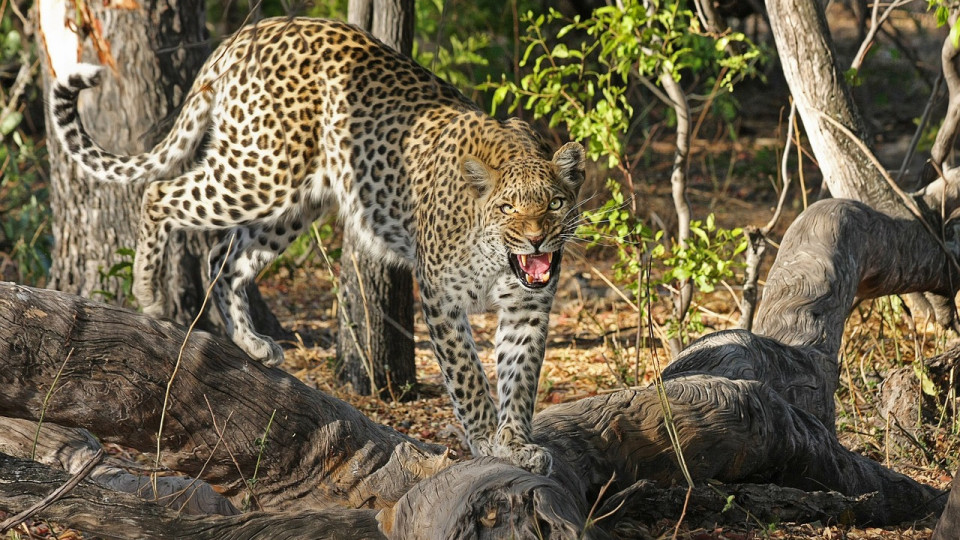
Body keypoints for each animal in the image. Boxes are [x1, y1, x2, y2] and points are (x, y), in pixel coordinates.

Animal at [50, 16, 584, 474]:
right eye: (508, 208)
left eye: (555, 203)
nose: (536, 238)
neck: (499, 259)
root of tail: (248, 33)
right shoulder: (440, 296)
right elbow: (469, 377)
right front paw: (487, 440)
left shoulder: (528, 307)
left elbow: (520, 378)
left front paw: (517, 444)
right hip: (261, 171)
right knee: (159, 193)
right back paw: (149, 293)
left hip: (294, 202)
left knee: (223, 257)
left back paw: (251, 342)